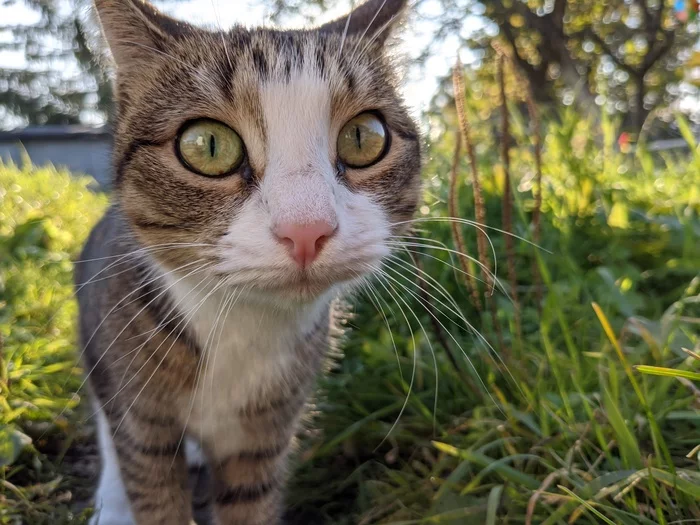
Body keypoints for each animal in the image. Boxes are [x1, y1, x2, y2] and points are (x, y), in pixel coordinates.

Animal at [78, 0, 422, 520]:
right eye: (208, 145)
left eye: (364, 137)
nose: (307, 228)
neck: (239, 326)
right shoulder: (139, 413)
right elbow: (150, 486)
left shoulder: (264, 435)